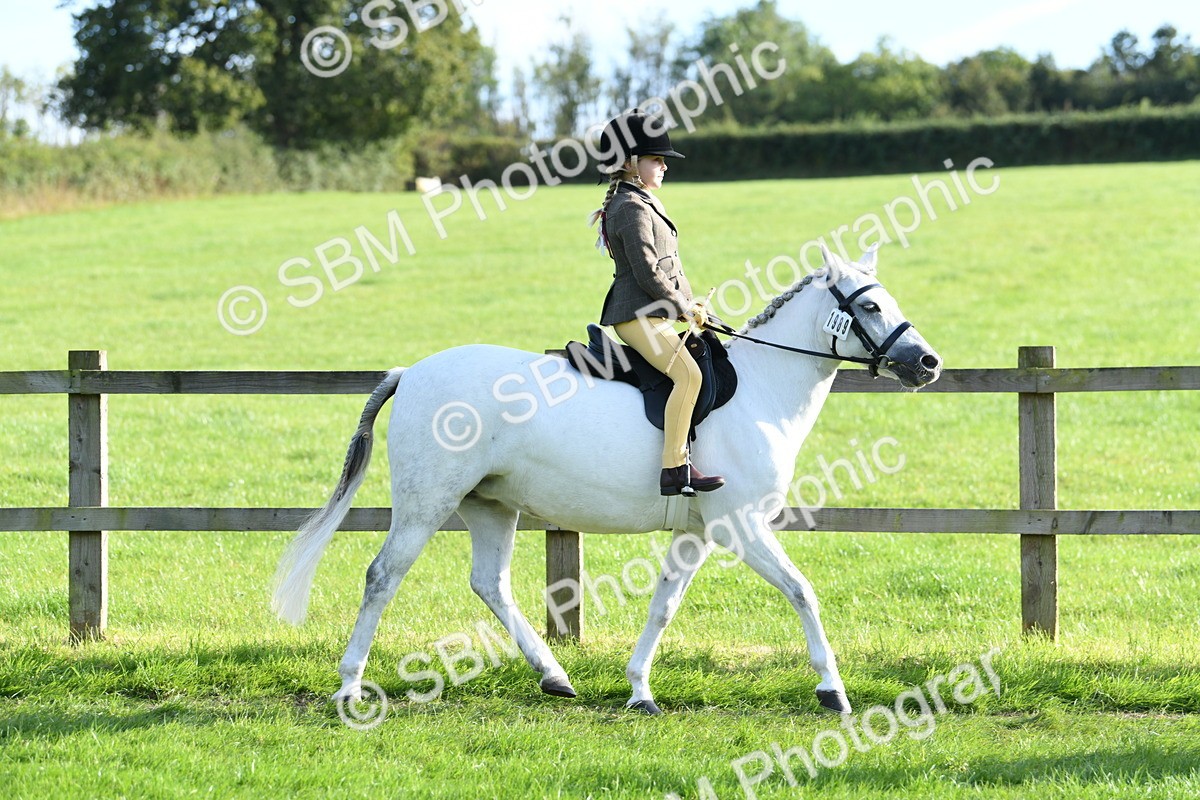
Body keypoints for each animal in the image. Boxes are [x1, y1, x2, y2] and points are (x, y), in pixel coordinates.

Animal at [271, 243, 942, 715]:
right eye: (871, 306)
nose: (928, 363)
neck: (762, 387)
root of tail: (411, 373)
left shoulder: (697, 530)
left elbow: (663, 605)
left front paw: (640, 690)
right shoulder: (742, 526)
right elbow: (803, 591)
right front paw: (833, 690)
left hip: (490, 505)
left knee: (490, 583)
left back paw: (554, 676)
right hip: (426, 502)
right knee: (383, 577)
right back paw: (349, 688)